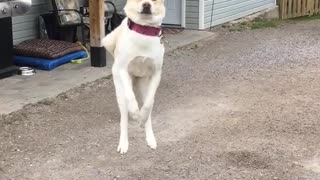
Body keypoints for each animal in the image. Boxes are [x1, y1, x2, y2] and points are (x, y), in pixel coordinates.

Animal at [102, 0, 166, 155]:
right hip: (119, 91)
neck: (143, 31)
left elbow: (148, 105)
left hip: (144, 86)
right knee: (124, 119)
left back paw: (150, 137)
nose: (146, 4)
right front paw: (135, 112)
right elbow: (131, 97)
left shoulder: (156, 74)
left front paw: (141, 116)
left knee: (148, 109)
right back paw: (123, 143)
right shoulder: (123, 70)